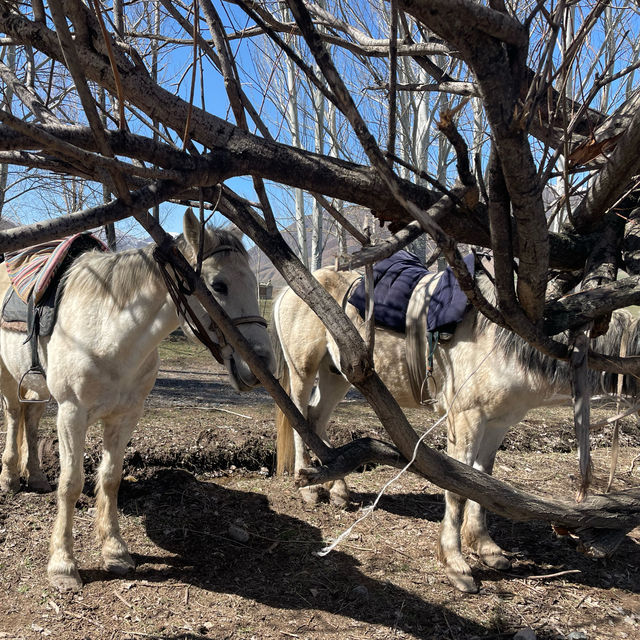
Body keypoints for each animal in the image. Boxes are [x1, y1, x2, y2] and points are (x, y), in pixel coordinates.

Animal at [0, 212, 272, 592]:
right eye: (218, 285)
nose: (263, 364)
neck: (108, 334)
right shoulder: (72, 414)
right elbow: (71, 483)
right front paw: (63, 565)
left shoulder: (125, 416)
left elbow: (110, 478)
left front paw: (114, 551)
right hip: (10, 378)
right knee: (14, 416)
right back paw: (10, 478)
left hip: (37, 387)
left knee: (32, 419)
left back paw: (37, 477)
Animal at [272, 264, 636, 592]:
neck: (505, 342)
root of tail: (288, 290)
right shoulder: (466, 419)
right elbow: (459, 489)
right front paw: (456, 563)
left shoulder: (498, 424)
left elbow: (484, 481)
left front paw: (485, 547)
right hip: (304, 370)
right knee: (300, 418)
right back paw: (308, 489)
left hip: (338, 374)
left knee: (317, 419)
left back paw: (337, 489)